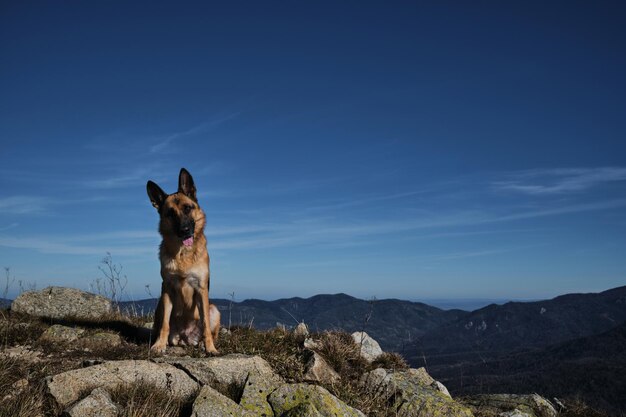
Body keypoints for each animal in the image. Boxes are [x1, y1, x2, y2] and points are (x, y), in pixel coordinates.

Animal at [146, 167, 219, 352]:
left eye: (187, 208)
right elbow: (165, 324)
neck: (183, 254)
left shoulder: (201, 289)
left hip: (214, 309)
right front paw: (159, 345)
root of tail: (185, 337)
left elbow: (206, 325)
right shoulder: (167, 289)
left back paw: (204, 343)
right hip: (159, 306)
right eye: (170, 214)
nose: (185, 230)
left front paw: (210, 349)